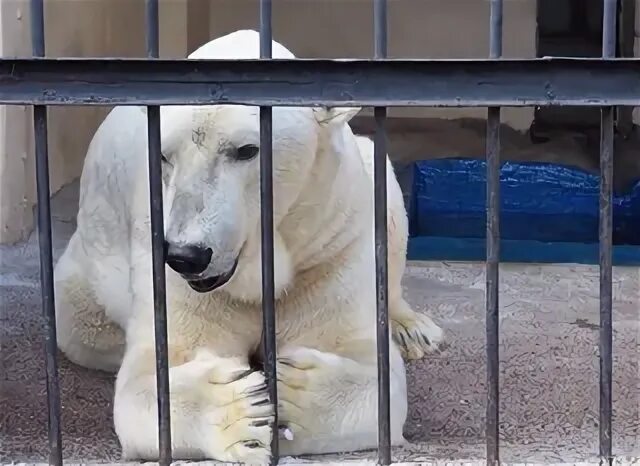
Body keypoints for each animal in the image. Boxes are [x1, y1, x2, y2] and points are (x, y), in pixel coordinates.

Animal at [53, 30, 444, 462]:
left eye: (245, 150)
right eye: (163, 155)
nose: (186, 255)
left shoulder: (328, 246)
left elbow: (373, 374)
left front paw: (293, 393)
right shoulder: (164, 262)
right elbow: (153, 378)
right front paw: (241, 413)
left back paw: (412, 330)